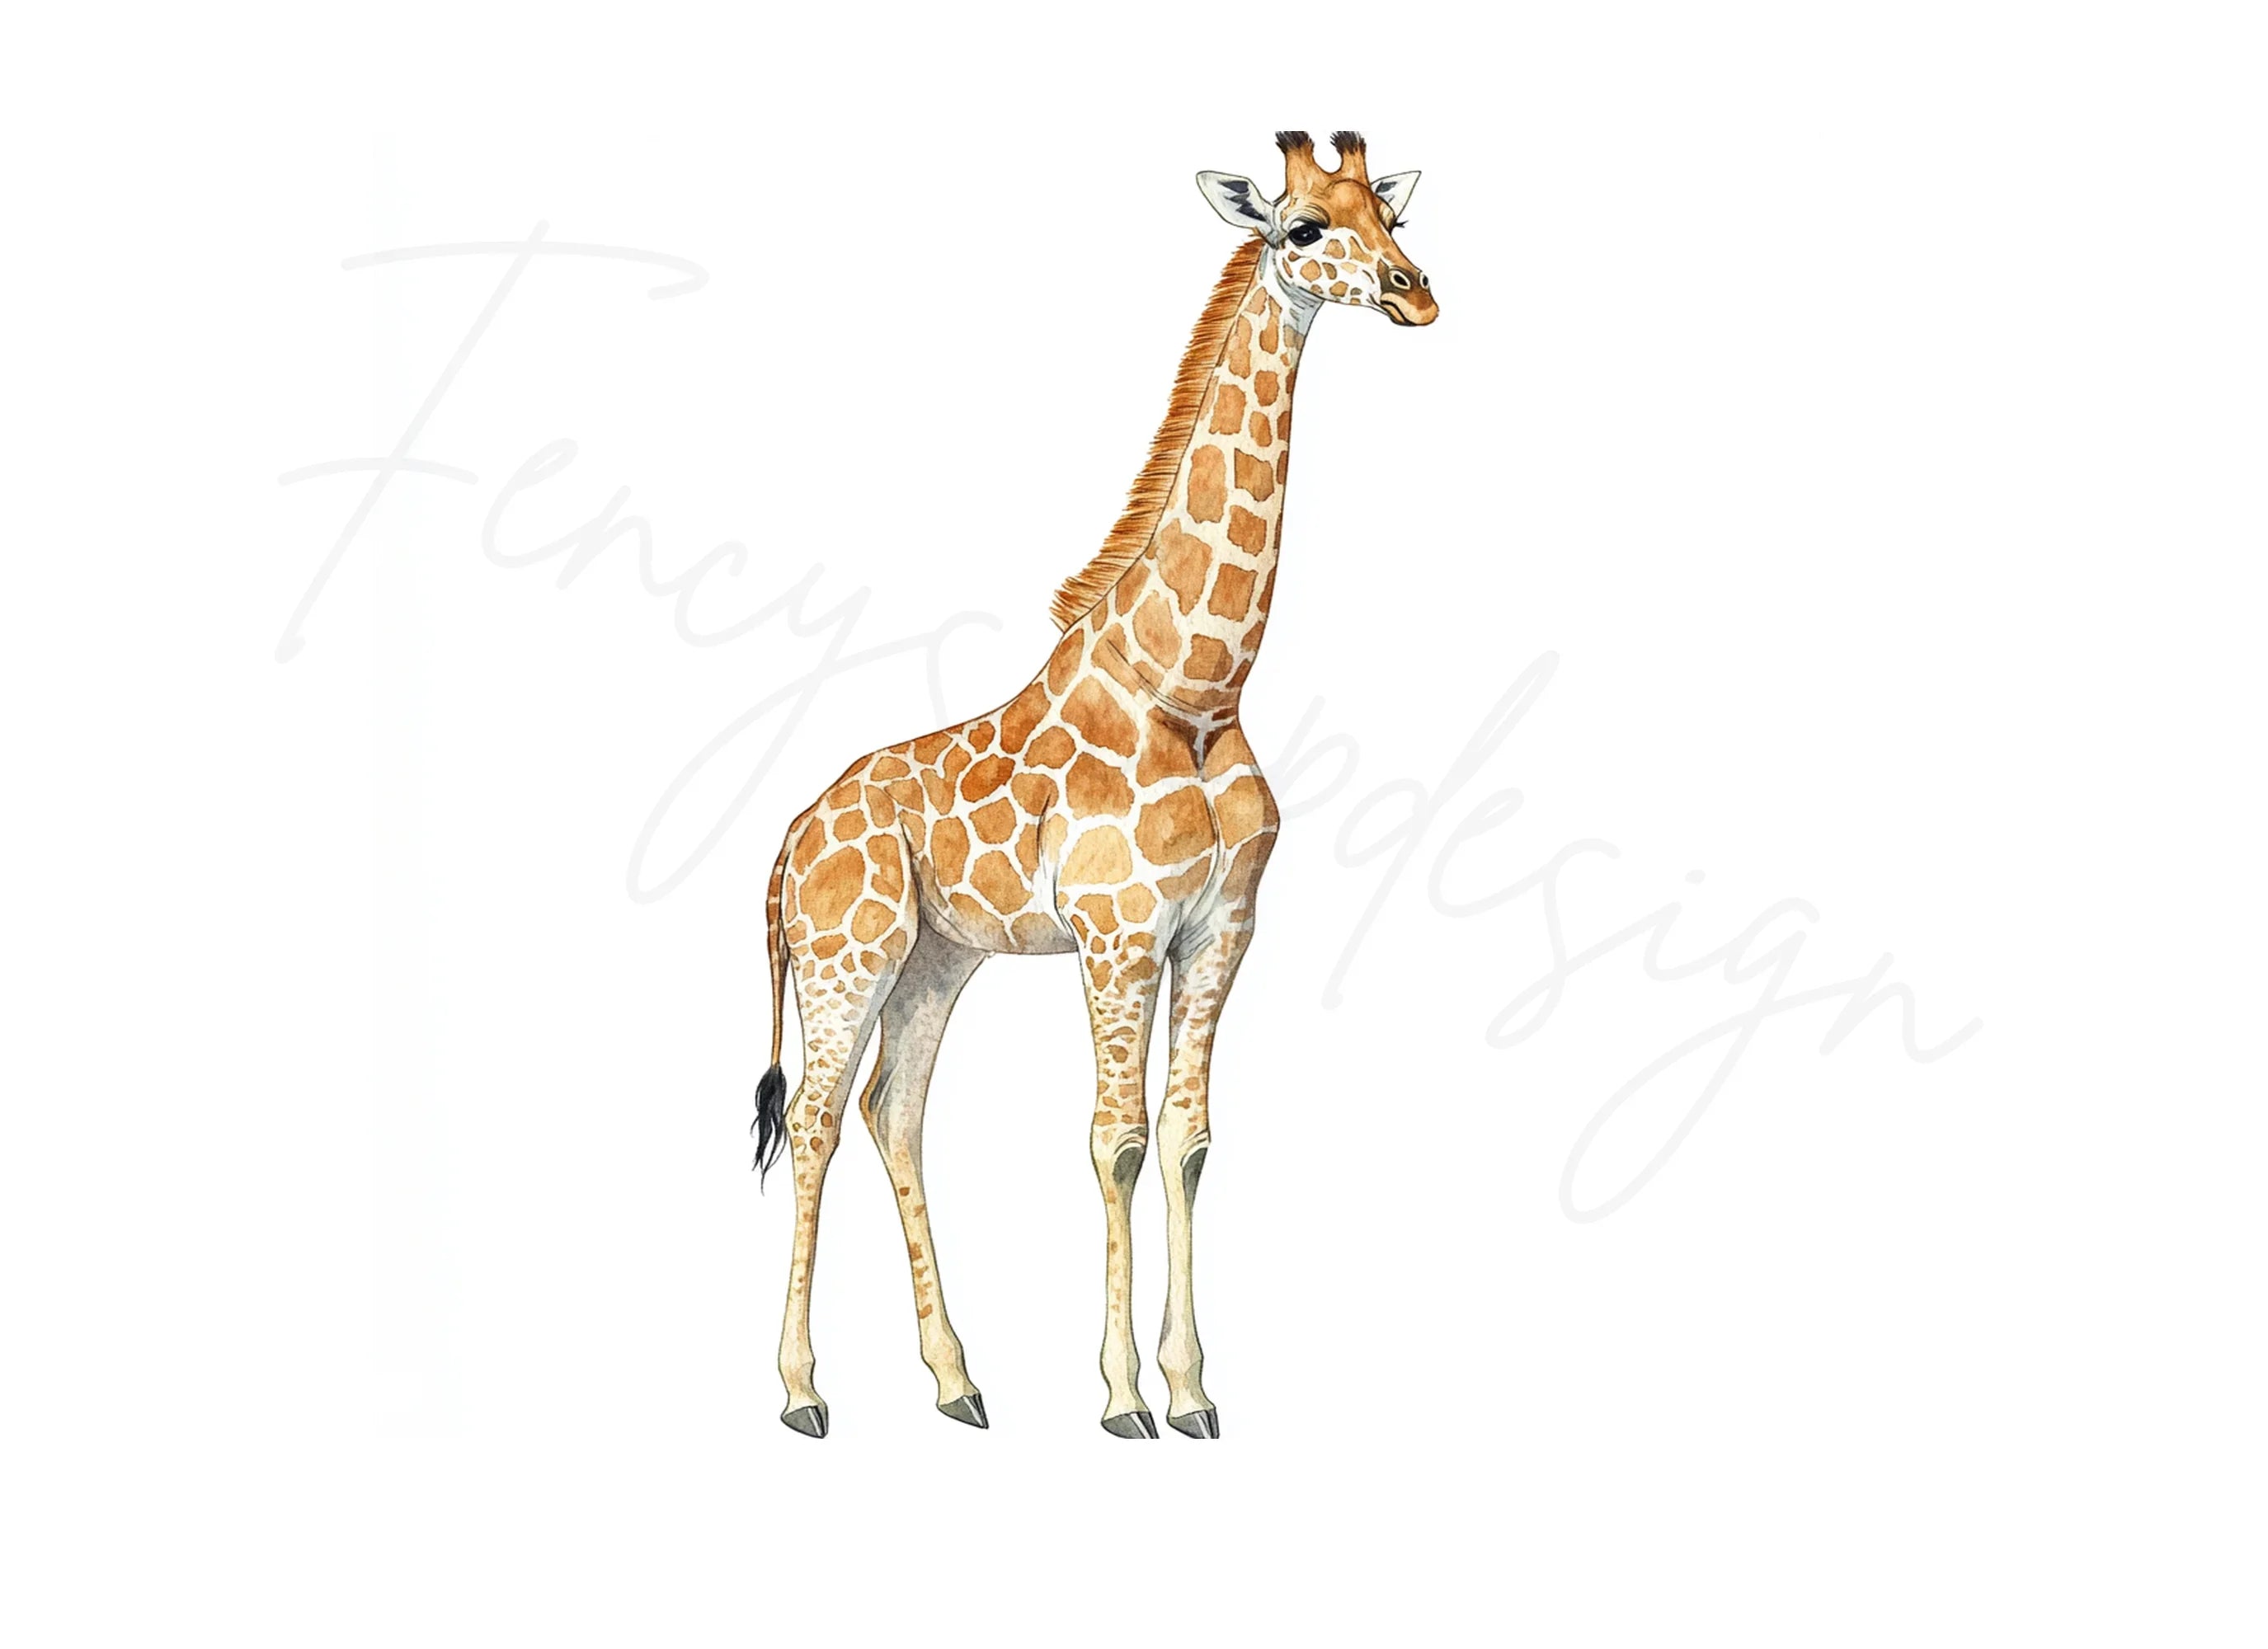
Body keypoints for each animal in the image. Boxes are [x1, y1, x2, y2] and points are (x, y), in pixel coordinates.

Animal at [752, 131, 1436, 1439]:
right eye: (1303, 231)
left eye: (1389, 215)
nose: (1416, 293)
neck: (1196, 689)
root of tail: (784, 848)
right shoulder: (1119, 934)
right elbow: (1112, 1140)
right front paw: (1124, 1397)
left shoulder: (1219, 930)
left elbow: (1187, 1139)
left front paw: (1193, 1389)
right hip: (845, 954)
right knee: (812, 1118)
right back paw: (804, 1391)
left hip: (937, 959)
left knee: (890, 1110)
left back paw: (957, 1382)